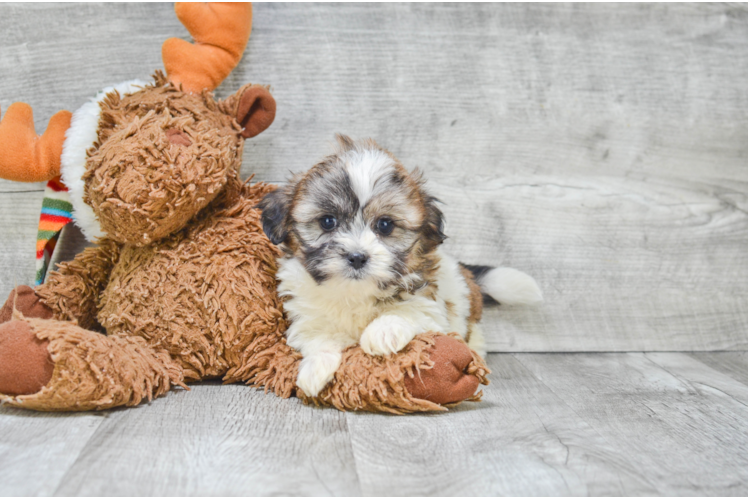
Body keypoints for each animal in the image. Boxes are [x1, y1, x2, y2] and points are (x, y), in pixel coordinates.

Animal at [260, 135, 540, 396]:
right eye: (328, 222)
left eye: (385, 225)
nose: (357, 257)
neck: (355, 293)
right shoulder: (306, 315)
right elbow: (318, 337)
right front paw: (314, 369)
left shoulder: (430, 304)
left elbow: (409, 310)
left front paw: (382, 333)